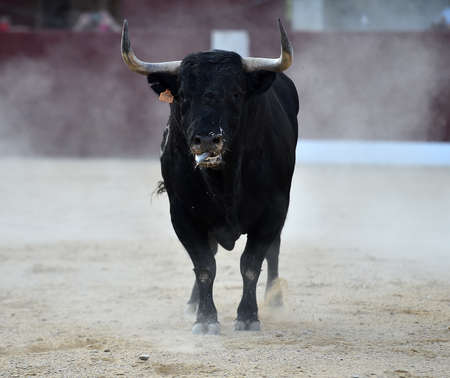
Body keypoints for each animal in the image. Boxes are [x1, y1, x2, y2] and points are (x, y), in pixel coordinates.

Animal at [121, 20, 300, 334]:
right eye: (183, 95)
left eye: (236, 94)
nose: (206, 139)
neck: (224, 182)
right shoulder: (183, 214)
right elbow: (204, 265)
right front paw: (204, 318)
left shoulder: (274, 209)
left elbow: (251, 262)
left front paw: (248, 316)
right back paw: (192, 304)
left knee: (273, 251)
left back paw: (275, 300)